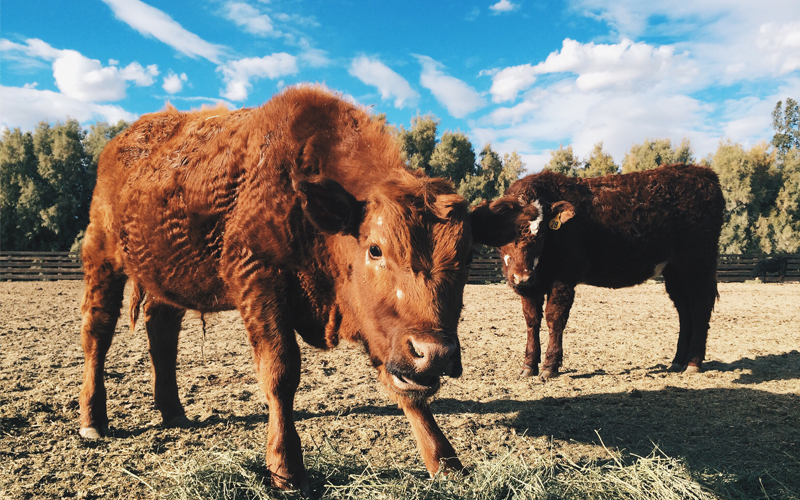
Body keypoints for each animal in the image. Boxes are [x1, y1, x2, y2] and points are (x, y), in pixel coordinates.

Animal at [78, 85, 528, 492]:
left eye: (467, 257)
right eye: (375, 249)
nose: (435, 353)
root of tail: (122, 141)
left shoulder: (385, 334)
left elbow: (406, 387)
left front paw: (445, 462)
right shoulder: (258, 281)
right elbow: (280, 374)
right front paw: (286, 470)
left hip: (166, 278)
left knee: (162, 334)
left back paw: (173, 411)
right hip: (102, 258)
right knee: (97, 333)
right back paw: (92, 421)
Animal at [500, 164, 724, 378]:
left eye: (541, 232)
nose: (522, 276)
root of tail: (705, 174)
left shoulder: (564, 277)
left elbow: (554, 318)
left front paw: (549, 366)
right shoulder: (532, 286)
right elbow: (531, 320)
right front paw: (528, 366)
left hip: (697, 262)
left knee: (700, 306)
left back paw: (693, 363)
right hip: (675, 269)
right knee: (684, 310)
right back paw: (678, 361)